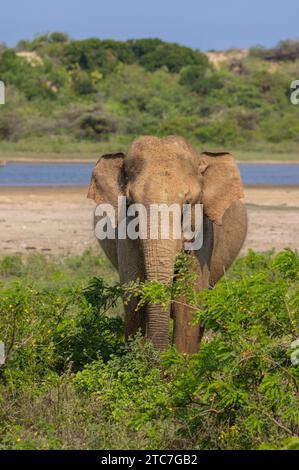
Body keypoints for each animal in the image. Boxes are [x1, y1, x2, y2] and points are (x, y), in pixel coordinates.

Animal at [87, 134, 248, 350]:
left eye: (188, 203)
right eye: (131, 203)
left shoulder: (203, 236)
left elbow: (188, 303)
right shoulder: (125, 238)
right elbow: (133, 298)